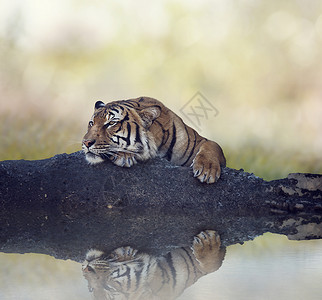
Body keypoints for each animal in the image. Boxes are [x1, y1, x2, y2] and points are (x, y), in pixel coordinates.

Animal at [82, 97, 225, 184]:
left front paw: (207, 169)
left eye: (111, 123)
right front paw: (124, 155)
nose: (86, 142)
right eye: (91, 123)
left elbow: (213, 145)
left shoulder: (200, 142)